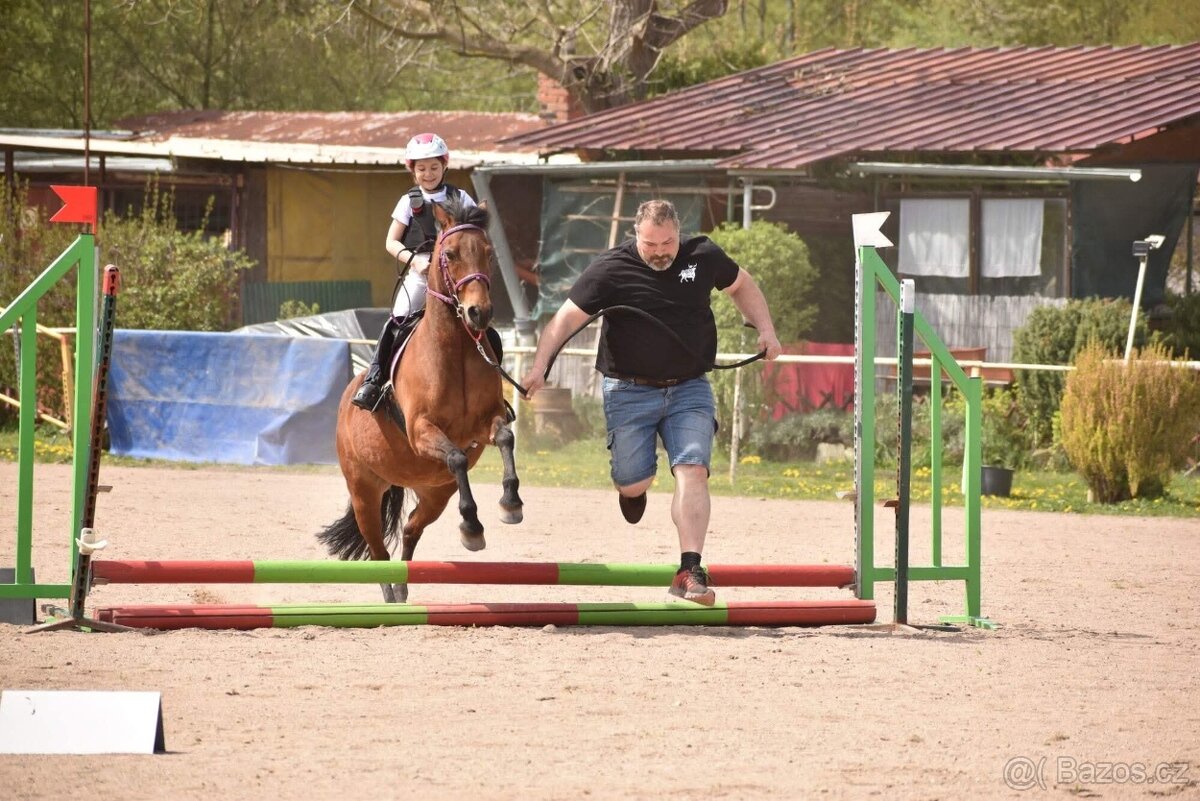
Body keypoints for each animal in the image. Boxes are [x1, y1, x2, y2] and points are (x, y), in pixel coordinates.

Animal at [318, 199, 523, 602]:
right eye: (450, 254)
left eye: (488, 254)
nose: (479, 313)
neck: (456, 350)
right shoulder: (421, 429)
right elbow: (457, 457)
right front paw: (472, 527)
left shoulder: (487, 421)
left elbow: (505, 438)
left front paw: (510, 505)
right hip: (364, 491)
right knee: (378, 550)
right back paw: (391, 597)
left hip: (435, 492)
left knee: (411, 529)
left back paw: (402, 589)